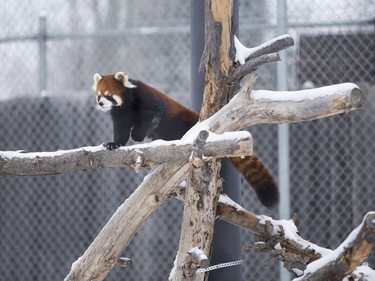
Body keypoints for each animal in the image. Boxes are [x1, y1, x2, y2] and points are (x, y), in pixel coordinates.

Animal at [92, 71, 280, 208]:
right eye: (99, 95)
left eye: (108, 95)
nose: (100, 103)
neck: (126, 104)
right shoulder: (120, 115)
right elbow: (121, 131)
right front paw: (114, 144)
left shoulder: (147, 100)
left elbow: (153, 116)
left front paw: (137, 134)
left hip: (182, 122)